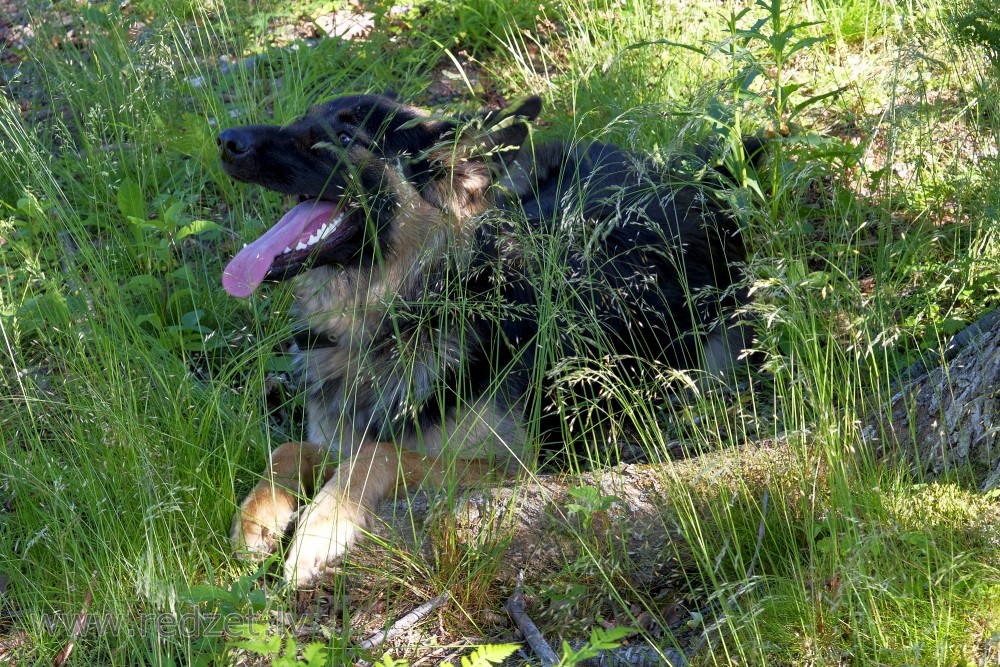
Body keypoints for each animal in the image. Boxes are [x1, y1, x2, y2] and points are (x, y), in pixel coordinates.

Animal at [215, 92, 752, 584]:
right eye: (302, 117)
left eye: (346, 139)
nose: (225, 140)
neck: (411, 314)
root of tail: (682, 173)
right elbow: (289, 449)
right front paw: (258, 518)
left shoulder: (508, 466)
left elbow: (378, 453)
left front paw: (321, 525)